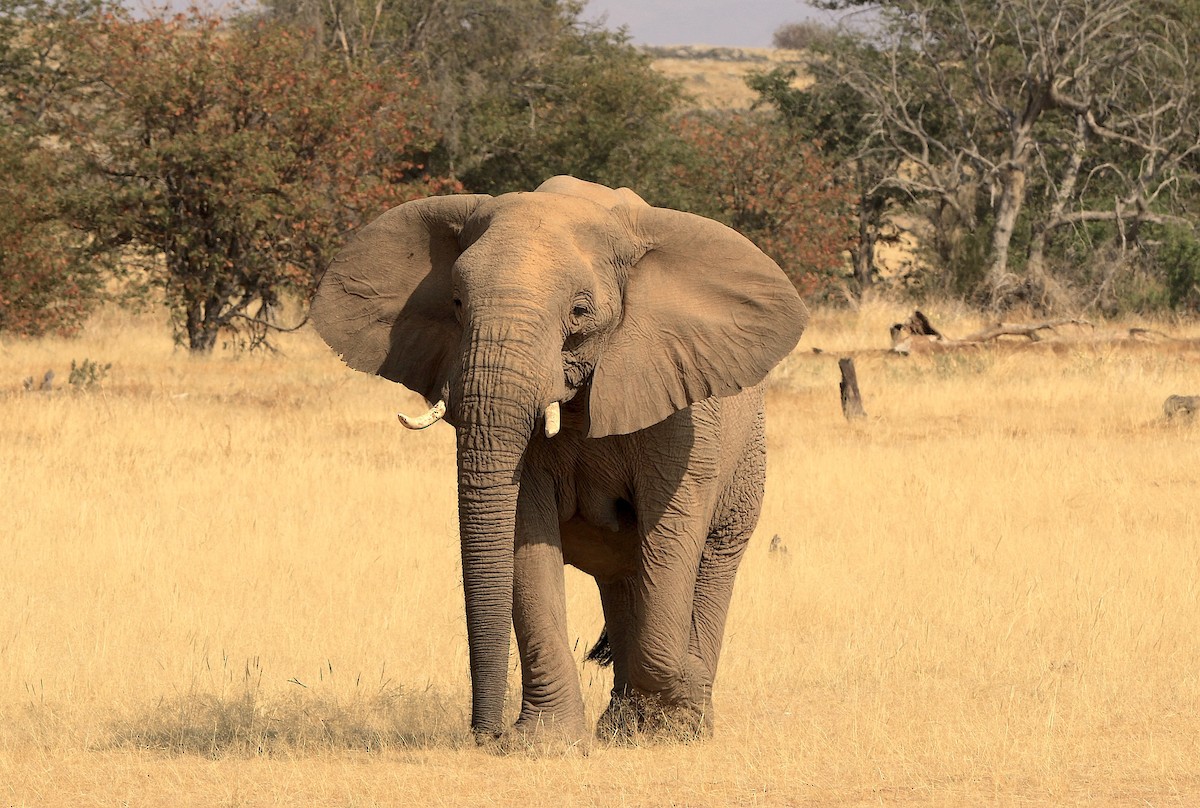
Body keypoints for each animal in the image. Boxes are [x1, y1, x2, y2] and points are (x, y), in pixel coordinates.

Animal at [309, 175, 807, 748]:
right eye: (456, 302)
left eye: (580, 312)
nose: (485, 736)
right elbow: (525, 534)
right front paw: (543, 744)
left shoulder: (684, 410)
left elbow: (671, 532)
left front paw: (678, 707)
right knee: (624, 579)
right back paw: (624, 725)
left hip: (747, 456)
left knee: (711, 560)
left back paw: (679, 716)